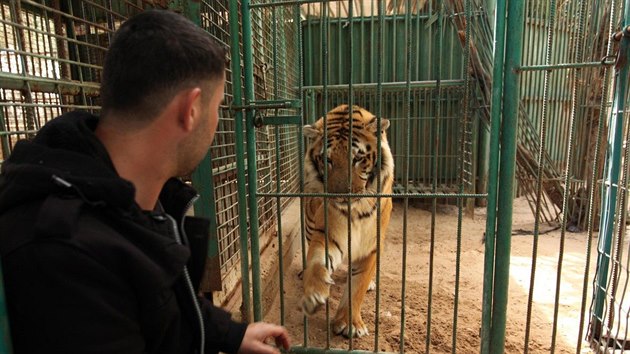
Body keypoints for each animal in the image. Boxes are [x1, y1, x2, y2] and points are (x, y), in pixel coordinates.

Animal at [302, 103, 396, 338]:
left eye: (358, 159)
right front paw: (313, 294)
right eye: (327, 160)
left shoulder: (372, 246)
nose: (342, 195)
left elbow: (357, 286)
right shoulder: (328, 233)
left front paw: (349, 324)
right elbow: (317, 261)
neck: (356, 210)